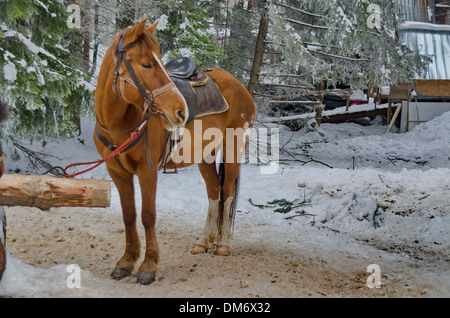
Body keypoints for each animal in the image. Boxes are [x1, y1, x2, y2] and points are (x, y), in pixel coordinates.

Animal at [93, 18, 255, 284]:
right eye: (146, 64)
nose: (181, 111)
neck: (121, 124)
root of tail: (236, 83)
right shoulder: (117, 172)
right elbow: (129, 215)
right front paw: (126, 262)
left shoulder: (147, 172)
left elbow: (148, 215)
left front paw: (148, 266)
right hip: (205, 155)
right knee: (214, 191)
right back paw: (203, 242)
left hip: (234, 149)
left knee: (227, 192)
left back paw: (222, 244)